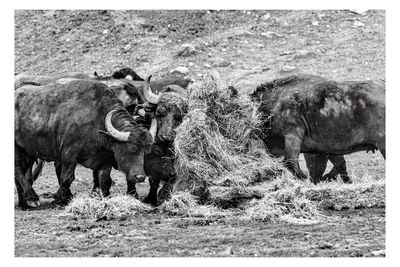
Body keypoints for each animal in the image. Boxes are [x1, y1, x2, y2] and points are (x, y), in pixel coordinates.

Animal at [13, 79, 156, 209]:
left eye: (146, 151)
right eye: (132, 148)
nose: (140, 177)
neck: (98, 119)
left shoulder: (105, 160)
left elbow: (105, 179)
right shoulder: (69, 154)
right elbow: (67, 177)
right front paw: (60, 198)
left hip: (28, 151)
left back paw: (23, 202)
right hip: (17, 147)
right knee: (17, 169)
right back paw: (32, 197)